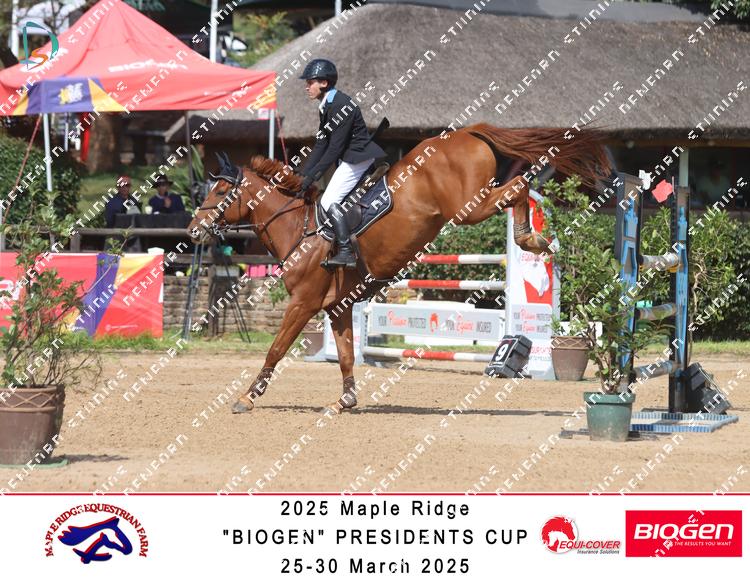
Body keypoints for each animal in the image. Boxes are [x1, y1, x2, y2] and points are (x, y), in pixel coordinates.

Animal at [188, 124, 611, 414]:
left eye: (221, 192)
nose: (193, 231)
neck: (298, 228)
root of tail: (463, 132)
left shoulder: (303, 303)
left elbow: (275, 350)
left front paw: (246, 397)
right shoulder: (336, 307)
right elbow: (345, 353)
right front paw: (344, 401)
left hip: (469, 207)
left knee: (521, 185)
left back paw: (529, 239)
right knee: (518, 186)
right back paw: (532, 238)